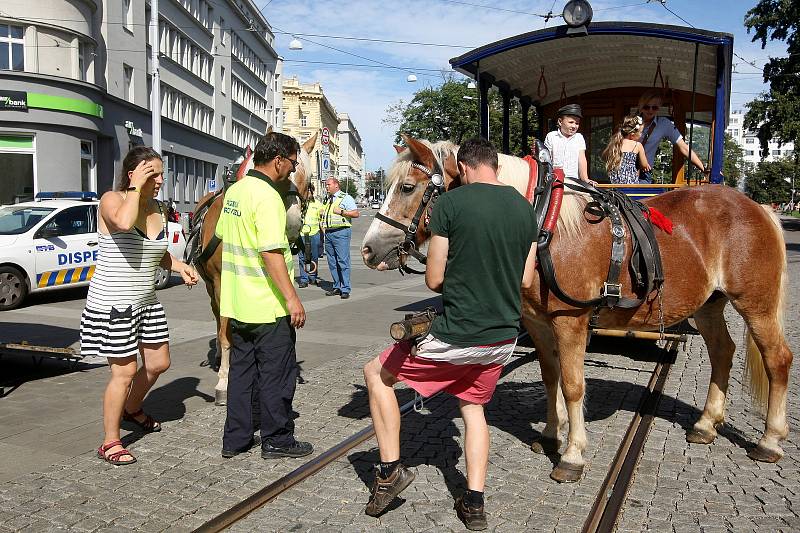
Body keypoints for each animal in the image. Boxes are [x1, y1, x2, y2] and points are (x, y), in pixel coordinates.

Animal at [192, 133, 318, 404]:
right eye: (287, 171)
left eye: (309, 181)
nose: (291, 223)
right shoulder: (222, 282)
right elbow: (226, 332)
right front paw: (225, 381)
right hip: (210, 285)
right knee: (217, 315)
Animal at [362, 136, 792, 482]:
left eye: (407, 187)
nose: (367, 249)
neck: (540, 224)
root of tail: (758, 207)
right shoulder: (537, 323)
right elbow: (551, 377)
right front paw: (552, 433)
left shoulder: (570, 321)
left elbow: (572, 384)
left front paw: (572, 454)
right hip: (708, 305)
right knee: (723, 352)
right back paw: (706, 424)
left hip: (755, 304)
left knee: (777, 359)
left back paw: (770, 440)